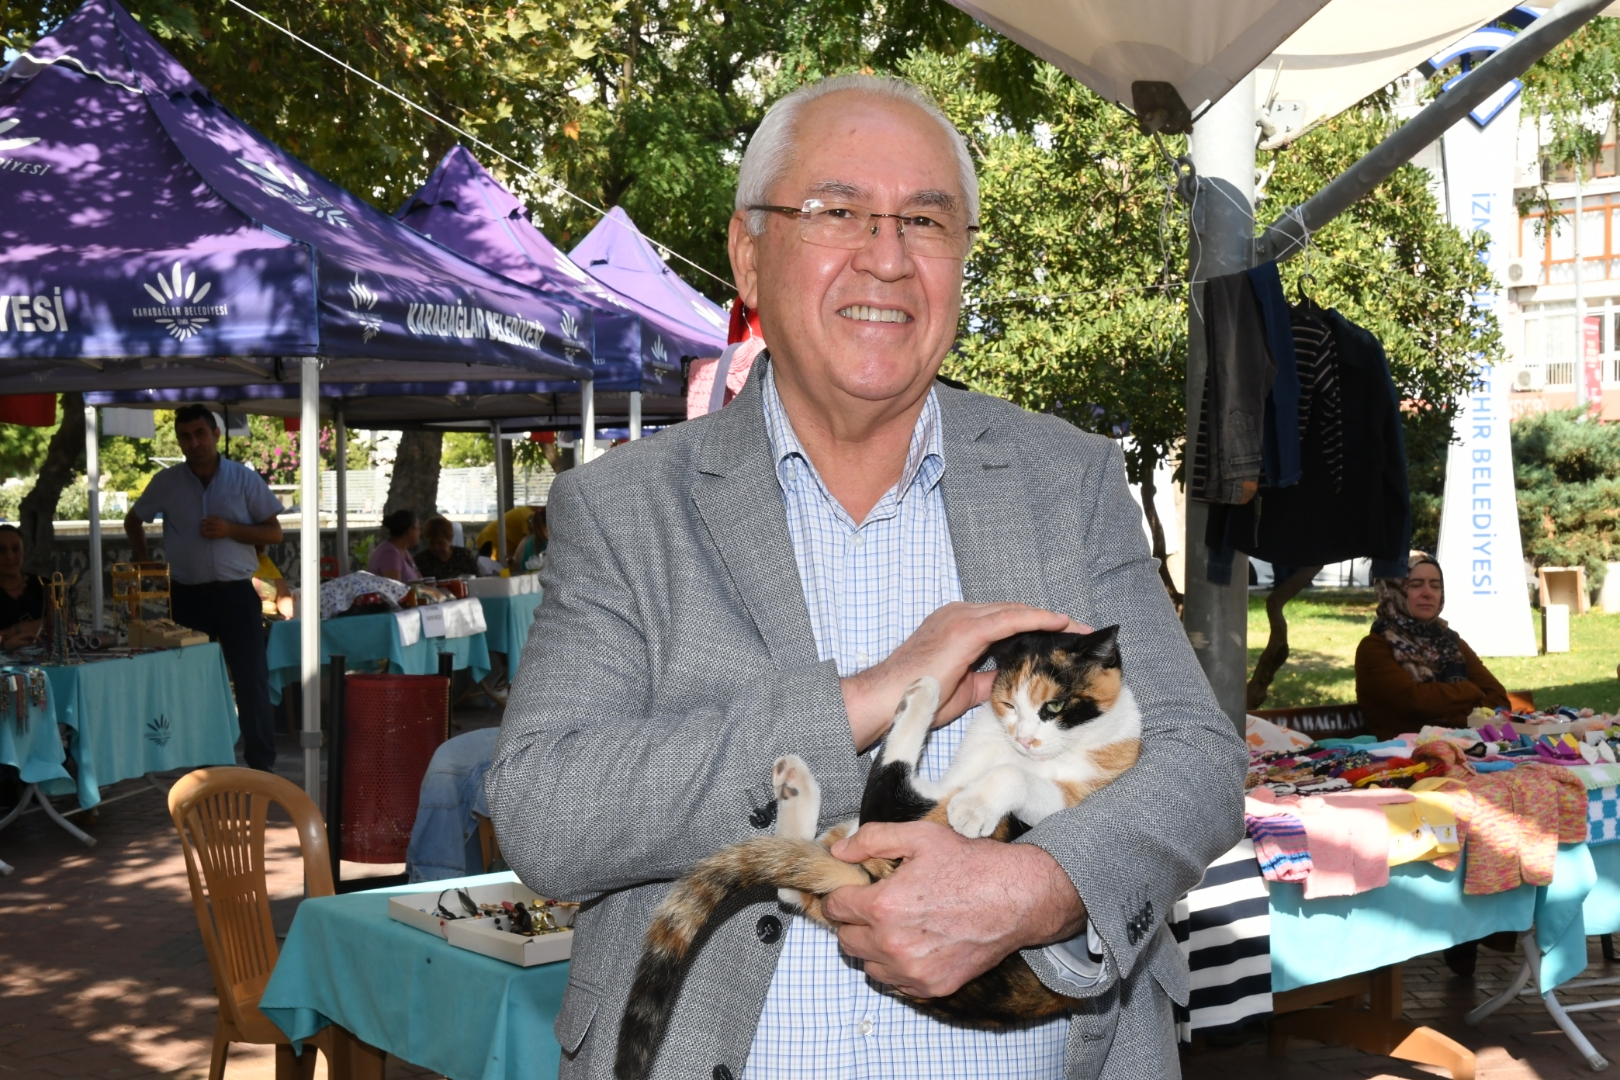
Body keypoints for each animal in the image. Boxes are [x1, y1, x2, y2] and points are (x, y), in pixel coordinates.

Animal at [614, 625, 1142, 1080]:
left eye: (1054, 706)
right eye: (1009, 703)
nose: (1025, 738)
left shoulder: (1060, 797)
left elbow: (1014, 778)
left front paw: (972, 805)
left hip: (903, 821)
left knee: (866, 805)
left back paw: (919, 696)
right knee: (793, 882)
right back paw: (795, 785)